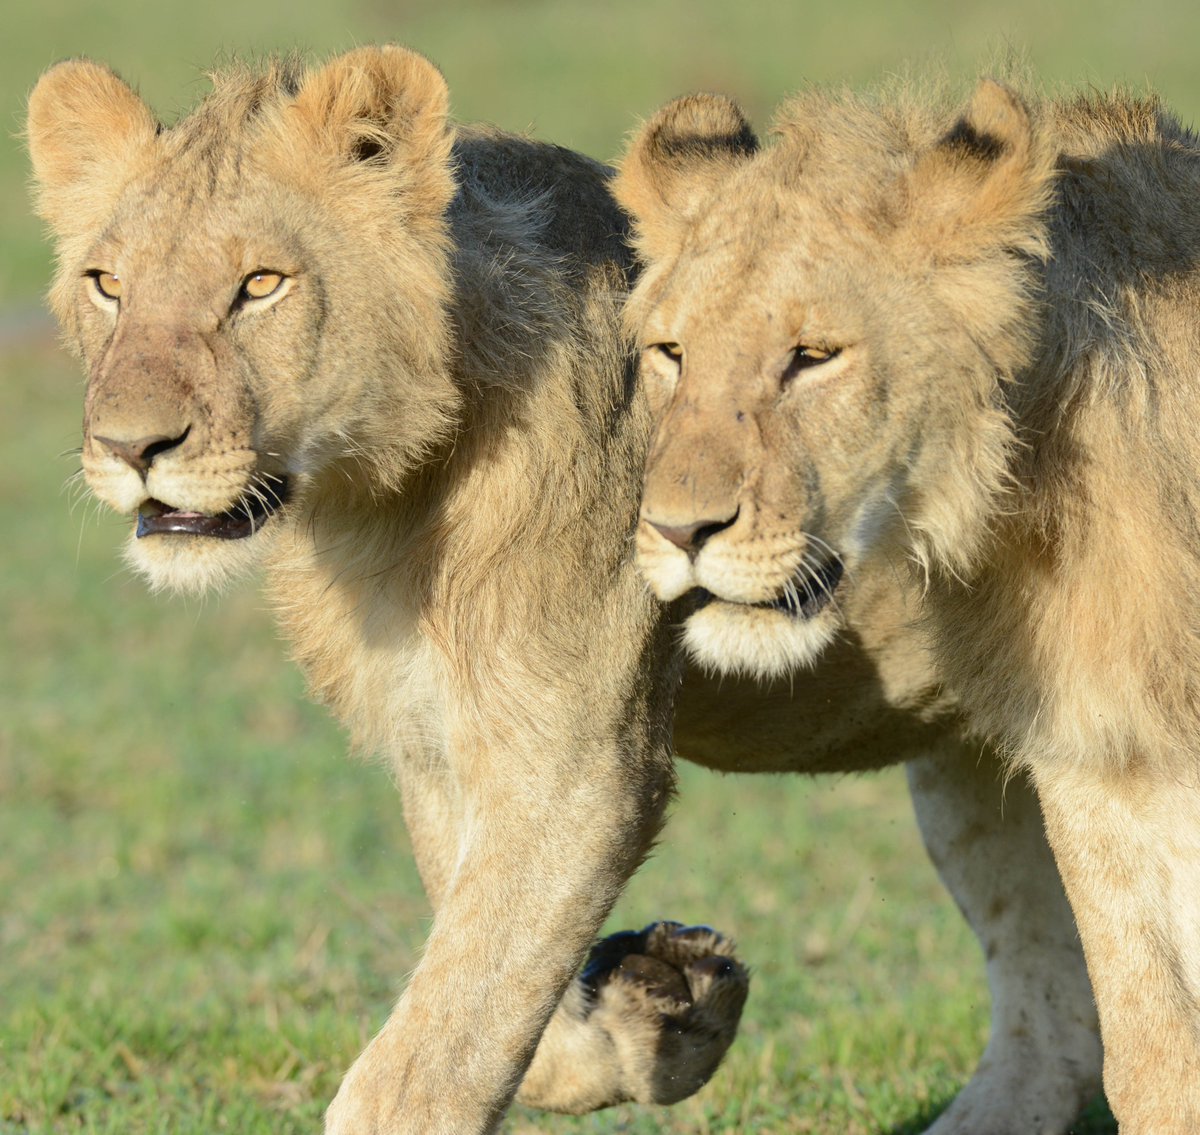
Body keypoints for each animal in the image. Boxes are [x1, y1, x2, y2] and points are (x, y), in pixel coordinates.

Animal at [28, 48, 1095, 1134]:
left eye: (260, 285)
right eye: (108, 285)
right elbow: (495, 994)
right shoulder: (434, 736)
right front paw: (666, 999)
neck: (380, 506)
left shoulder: (575, 759)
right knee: (1051, 1003)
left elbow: (432, 1043)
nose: (131, 447)